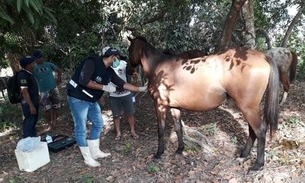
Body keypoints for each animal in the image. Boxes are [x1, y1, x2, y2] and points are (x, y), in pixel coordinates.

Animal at [127, 36, 280, 171]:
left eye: (129, 50)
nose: (129, 70)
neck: (159, 67)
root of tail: (262, 56)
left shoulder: (160, 105)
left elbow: (161, 130)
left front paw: (159, 153)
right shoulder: (174, 107)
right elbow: (178, 128)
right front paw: (179, 150)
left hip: (248, 108)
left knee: (260, 131)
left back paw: (257, 164)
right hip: (249, 108)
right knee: (252, 130)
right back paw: (244, 154)